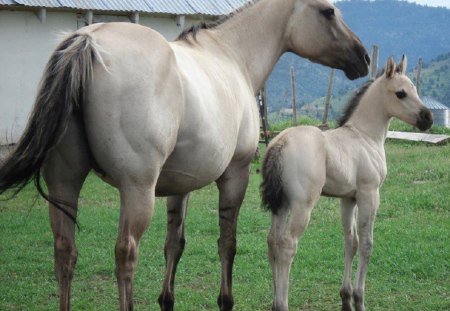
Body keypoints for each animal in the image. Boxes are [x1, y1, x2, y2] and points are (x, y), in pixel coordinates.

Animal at [0, 0, 370, 311]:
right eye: (328, 11)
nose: (363, 57)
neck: (231, 56)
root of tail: (87, 40)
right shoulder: (235, 175)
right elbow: (227, 243)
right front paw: (225, 300)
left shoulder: (180, 186)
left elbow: (174, 244)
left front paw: (167, 299)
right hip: (136, 190)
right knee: (125, 254)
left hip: (65, 185)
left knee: (65, 251)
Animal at [262, 56, 434, 311]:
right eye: (401, 93)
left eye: (414, 89)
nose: (427, 119)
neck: (364, 136)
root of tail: (279, 143)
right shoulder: (369, 193)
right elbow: (366, 244)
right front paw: (360, 299)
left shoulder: (348, 198)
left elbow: (350, 242)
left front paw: (346, 298)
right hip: (302, 205)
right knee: (287, 245)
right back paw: (282, 304)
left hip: (280, 205)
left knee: (272, 241)